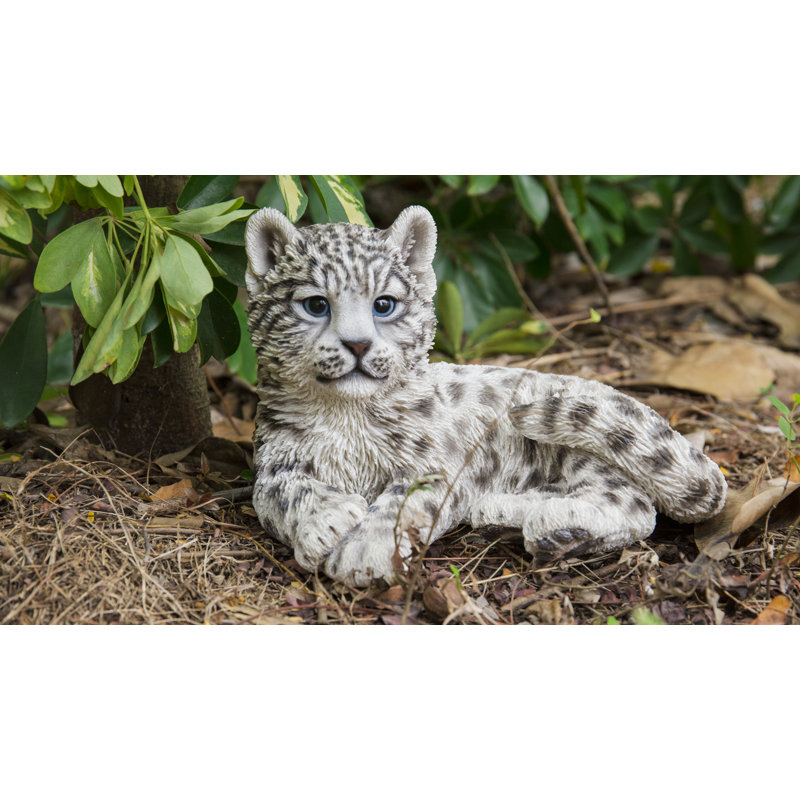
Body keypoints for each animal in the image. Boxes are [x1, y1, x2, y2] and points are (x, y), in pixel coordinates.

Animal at [244, 204, 727, 587]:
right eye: (316, 304)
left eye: (384, 304)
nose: (358, 344)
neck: (346, 414)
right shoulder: (274, 458)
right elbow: (276, 494)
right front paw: (326, 520)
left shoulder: (433, 466)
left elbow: (400, 504)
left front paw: (364, 551)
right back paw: (503, 513)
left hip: (583, 444)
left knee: (635, 502)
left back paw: (557, 527)